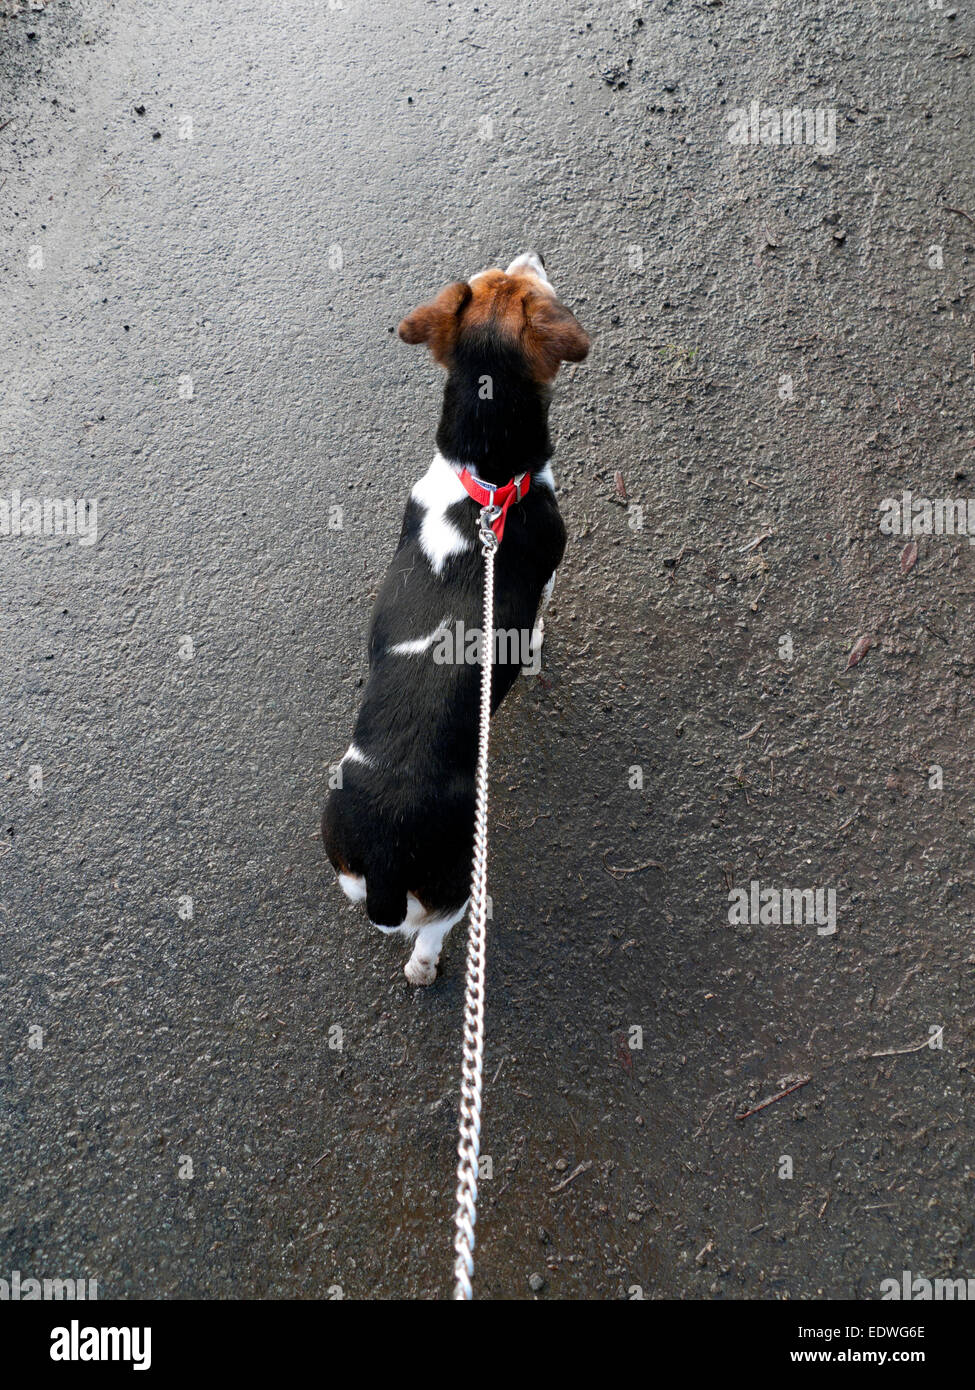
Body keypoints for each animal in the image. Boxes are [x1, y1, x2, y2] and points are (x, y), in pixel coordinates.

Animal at [322, 255, 589, 984]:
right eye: (527, 283)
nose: (531, 253)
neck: (486, 477)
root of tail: (387, 856)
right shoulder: (550, 571)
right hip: (456, 885)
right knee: (432, 937)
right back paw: (426, 967)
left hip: (346, 866)